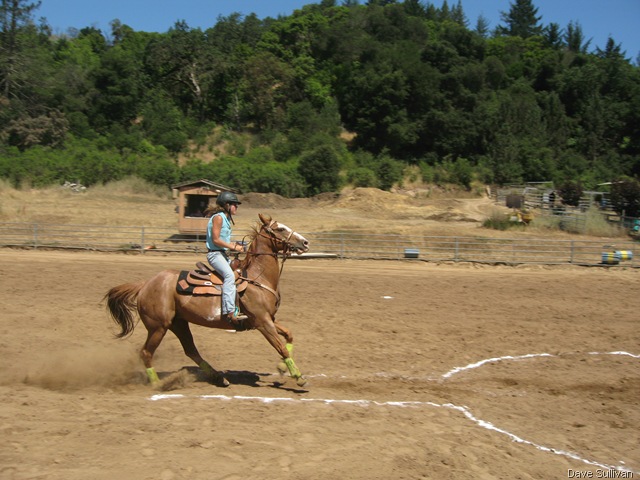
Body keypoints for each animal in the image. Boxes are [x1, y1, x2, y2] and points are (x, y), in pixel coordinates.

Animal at [104, 214, 310, 387]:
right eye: (280, 229)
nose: (305, 242)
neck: (257, 278)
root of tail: (145, 284)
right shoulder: (262, 322)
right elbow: (281, 347)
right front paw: (298, 377)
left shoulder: (270, 319)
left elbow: (289, 335)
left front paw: (282, 368)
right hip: (158, 327)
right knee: (146, 353)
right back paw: (157, 384)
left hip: (178, 323)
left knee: (190, 350)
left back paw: (218, 377)